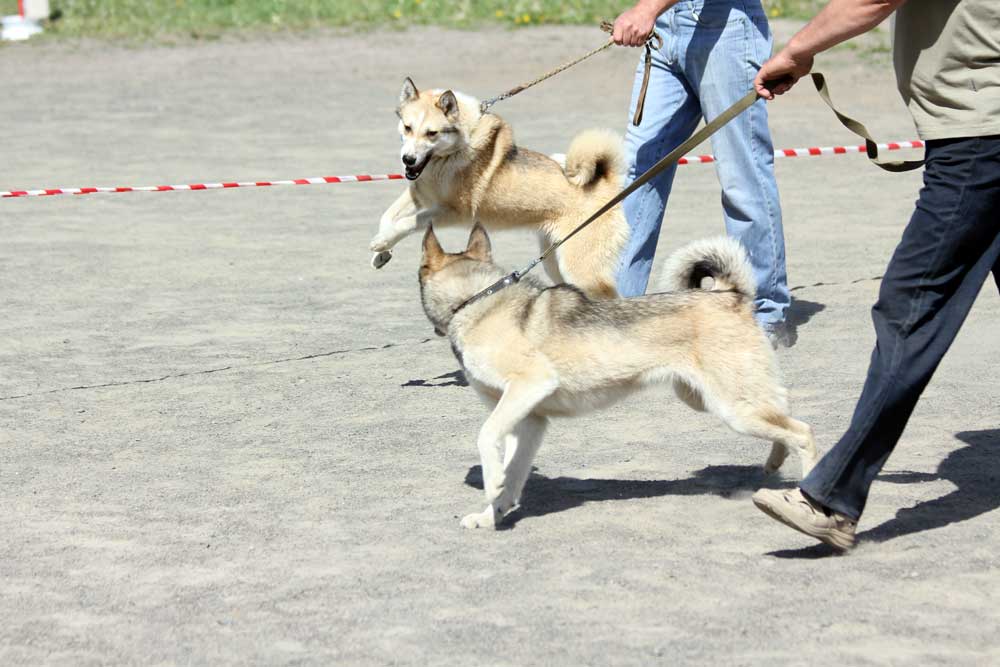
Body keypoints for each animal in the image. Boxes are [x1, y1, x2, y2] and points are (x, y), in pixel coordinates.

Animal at [371, 77, 628, 300]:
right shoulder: (418, 195)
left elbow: (407, 222)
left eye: (431, 133)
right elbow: (388, 216)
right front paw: (382, 252)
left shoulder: (452, 212)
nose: (408, 159)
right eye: (407, 127)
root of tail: (606, 181)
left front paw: (382, 242)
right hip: (554, 262)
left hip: (580, 269)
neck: (451, 154)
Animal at [418, 224, 818, 529]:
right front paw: (491, 515)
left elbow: (486, 437)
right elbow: (513, 473)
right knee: (784, 412)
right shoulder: (530, 421)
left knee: (803, 432)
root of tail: (729, 295)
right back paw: (774, 462)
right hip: (712, 400)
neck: (475, 301)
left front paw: (491, 483)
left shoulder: (529, 386)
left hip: (735, 408)